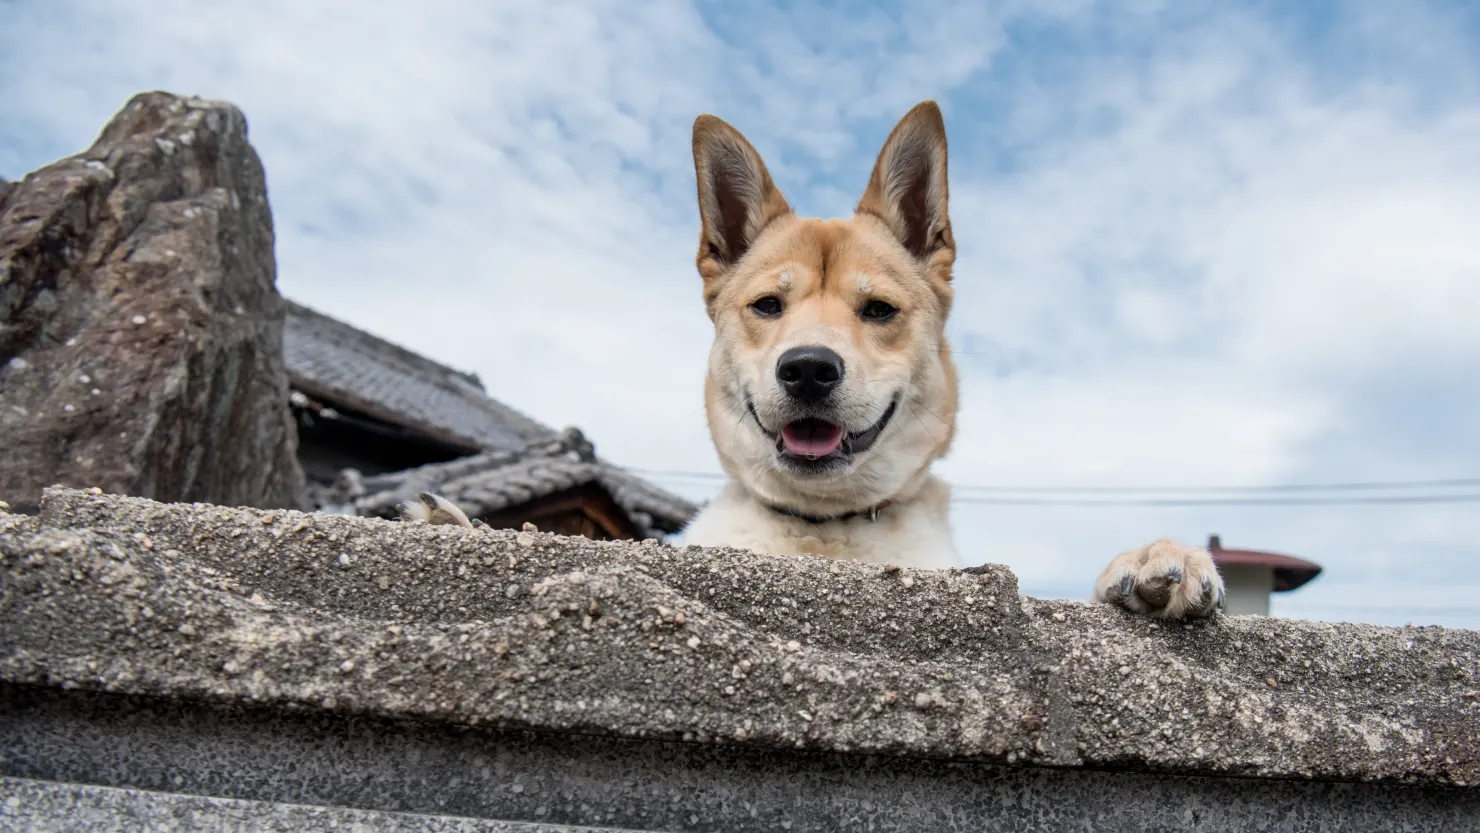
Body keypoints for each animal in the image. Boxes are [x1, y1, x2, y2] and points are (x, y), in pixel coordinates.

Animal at [408, 101, 1225, 621]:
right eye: (770, 305)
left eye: (879, 311)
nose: (807, 368)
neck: (823, 533)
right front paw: (461, 527)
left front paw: (1153, 562)